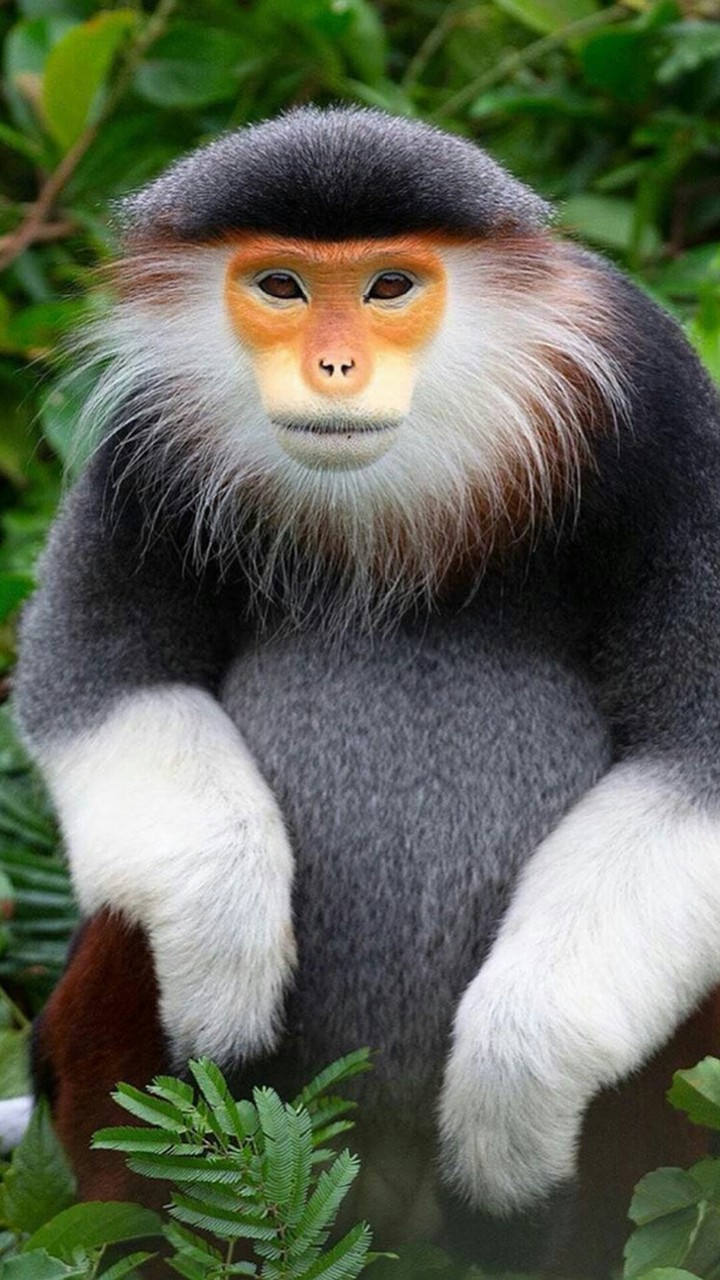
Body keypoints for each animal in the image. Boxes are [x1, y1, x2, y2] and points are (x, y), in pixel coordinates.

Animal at [12, 105, 720, 1272]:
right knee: (126, 922)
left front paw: (509, 1098)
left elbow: (697, 751)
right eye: (282, 286)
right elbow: (92, 678)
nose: (335, 365)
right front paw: (228, 976)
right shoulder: (138, 448)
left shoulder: (666, 417)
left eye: (390, 286)